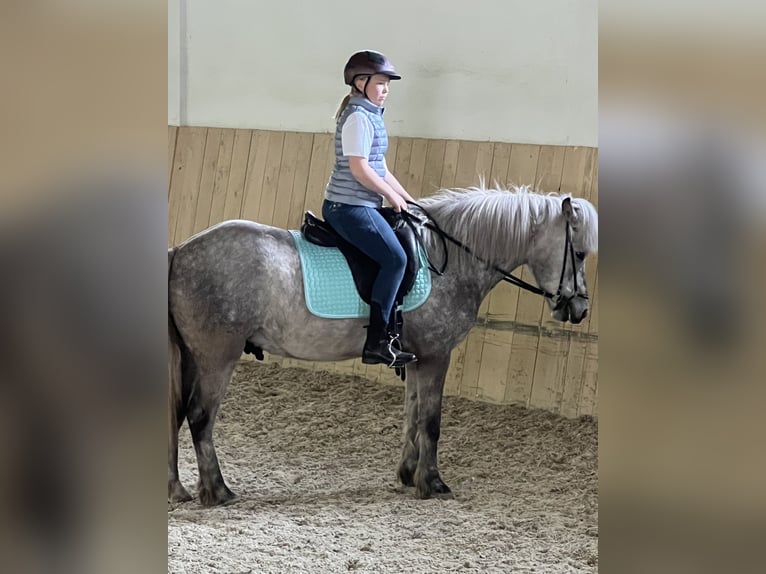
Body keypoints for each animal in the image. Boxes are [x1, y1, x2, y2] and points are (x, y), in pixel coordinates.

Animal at [168, 187, 600, 506]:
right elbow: (431, 421)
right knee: (200, 417)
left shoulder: (416, 358)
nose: (579, 309)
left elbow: (412, 415)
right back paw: (218, 491)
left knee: (175, 415)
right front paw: (433, 482)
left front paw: (409, 475)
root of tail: (181, 251)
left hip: (191, 357)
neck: (449, 261)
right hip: (217, 357)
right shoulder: (437, 356)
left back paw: (178, 490)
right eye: (578, 253)